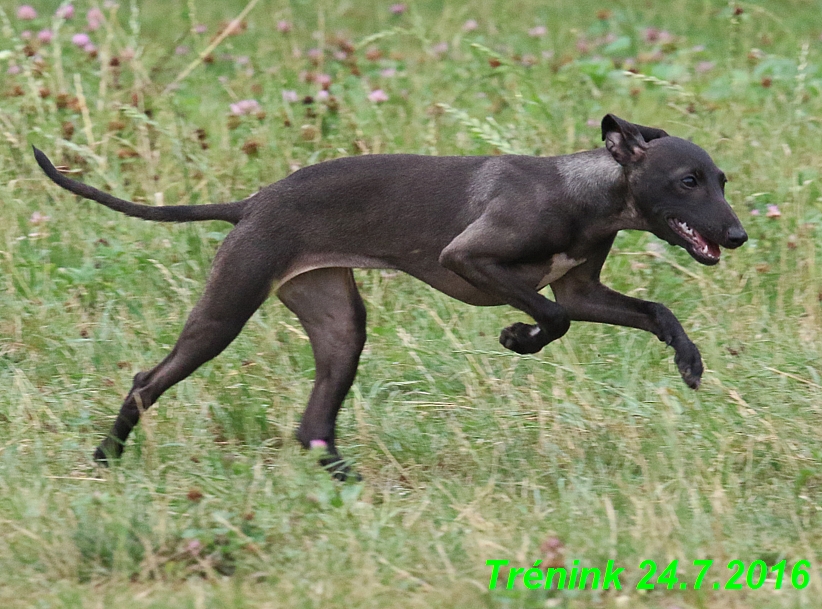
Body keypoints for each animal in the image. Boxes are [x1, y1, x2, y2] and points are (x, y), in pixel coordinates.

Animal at [35, 115, 748, 476]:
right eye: (687, 181)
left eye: (721, 179)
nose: (738, 235)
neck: (586, 194)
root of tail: (253, 203)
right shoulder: (469, 258)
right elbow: (550, 317)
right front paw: (518, 338)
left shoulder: (582, 287)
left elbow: (653, 310)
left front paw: (689, 360)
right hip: (224, 312)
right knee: (147, 379)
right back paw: (105, 457)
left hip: (339, 325)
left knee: (312, 426)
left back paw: (346, 483)